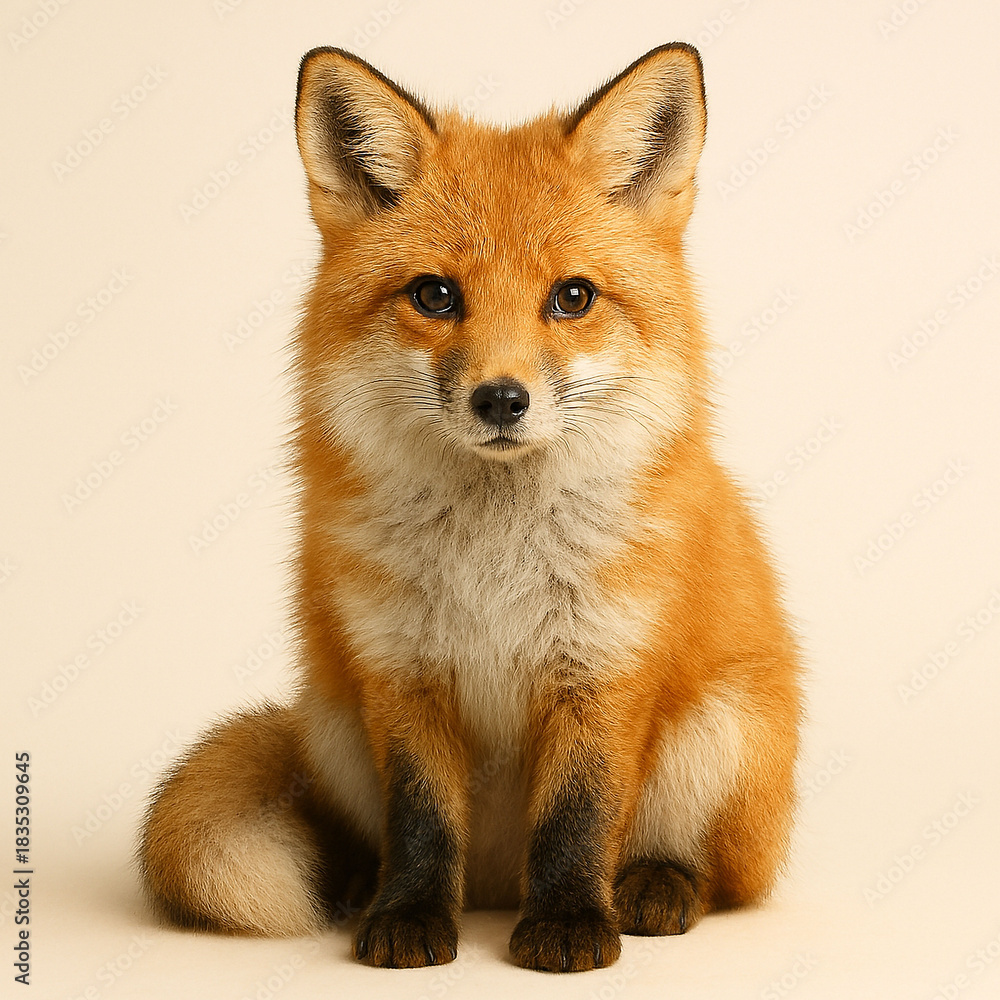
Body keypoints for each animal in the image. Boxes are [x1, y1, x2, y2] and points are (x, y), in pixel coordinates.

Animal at [138, 43, 802, 972]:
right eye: (436, 296)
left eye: (572, 297)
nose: (501, 399)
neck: (497, 558)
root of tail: (494, 885)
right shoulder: (400, 670)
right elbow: (420, 823)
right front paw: (409, 918)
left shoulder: (605, 665)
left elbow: (577, 818)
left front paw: (569, 926)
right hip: (334, 726)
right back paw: (359, 887)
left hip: (726, 734)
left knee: (721, 875)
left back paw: (657, 885)